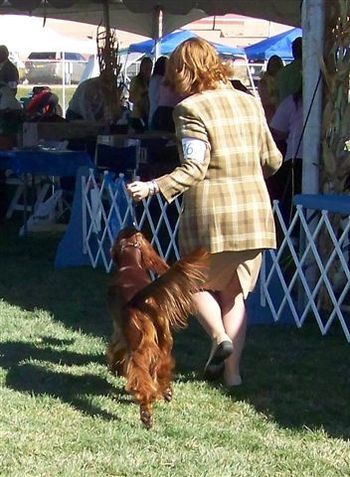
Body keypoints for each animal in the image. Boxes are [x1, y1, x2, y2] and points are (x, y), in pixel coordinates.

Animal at [105, 227, 206, 428]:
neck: (130, 266)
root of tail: (142, 301)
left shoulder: (119, 329)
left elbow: (116, 349)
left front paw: (115, 367)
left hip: (139, 349)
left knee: (142, 382)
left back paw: (146, 415)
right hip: (164, 342)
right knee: (163, 367)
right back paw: (166, 391)